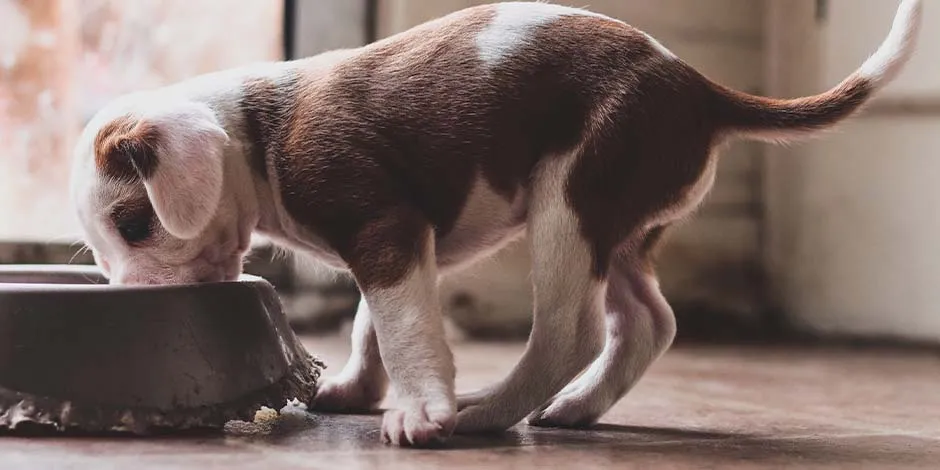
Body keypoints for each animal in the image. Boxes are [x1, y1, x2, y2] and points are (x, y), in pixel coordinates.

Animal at [70, 0, 920, 448]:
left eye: (136, 225)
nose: (127, 294)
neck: (255, 132)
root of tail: (699, 88)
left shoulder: (383, 229)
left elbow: (402, 327)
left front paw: (421, 411)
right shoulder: (409, 241)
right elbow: (371, 323)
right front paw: (355, 387)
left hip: (570, 200)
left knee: (570, 333)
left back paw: (487, 414)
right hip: (623, 228)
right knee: (648, 321)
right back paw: (577, 407)